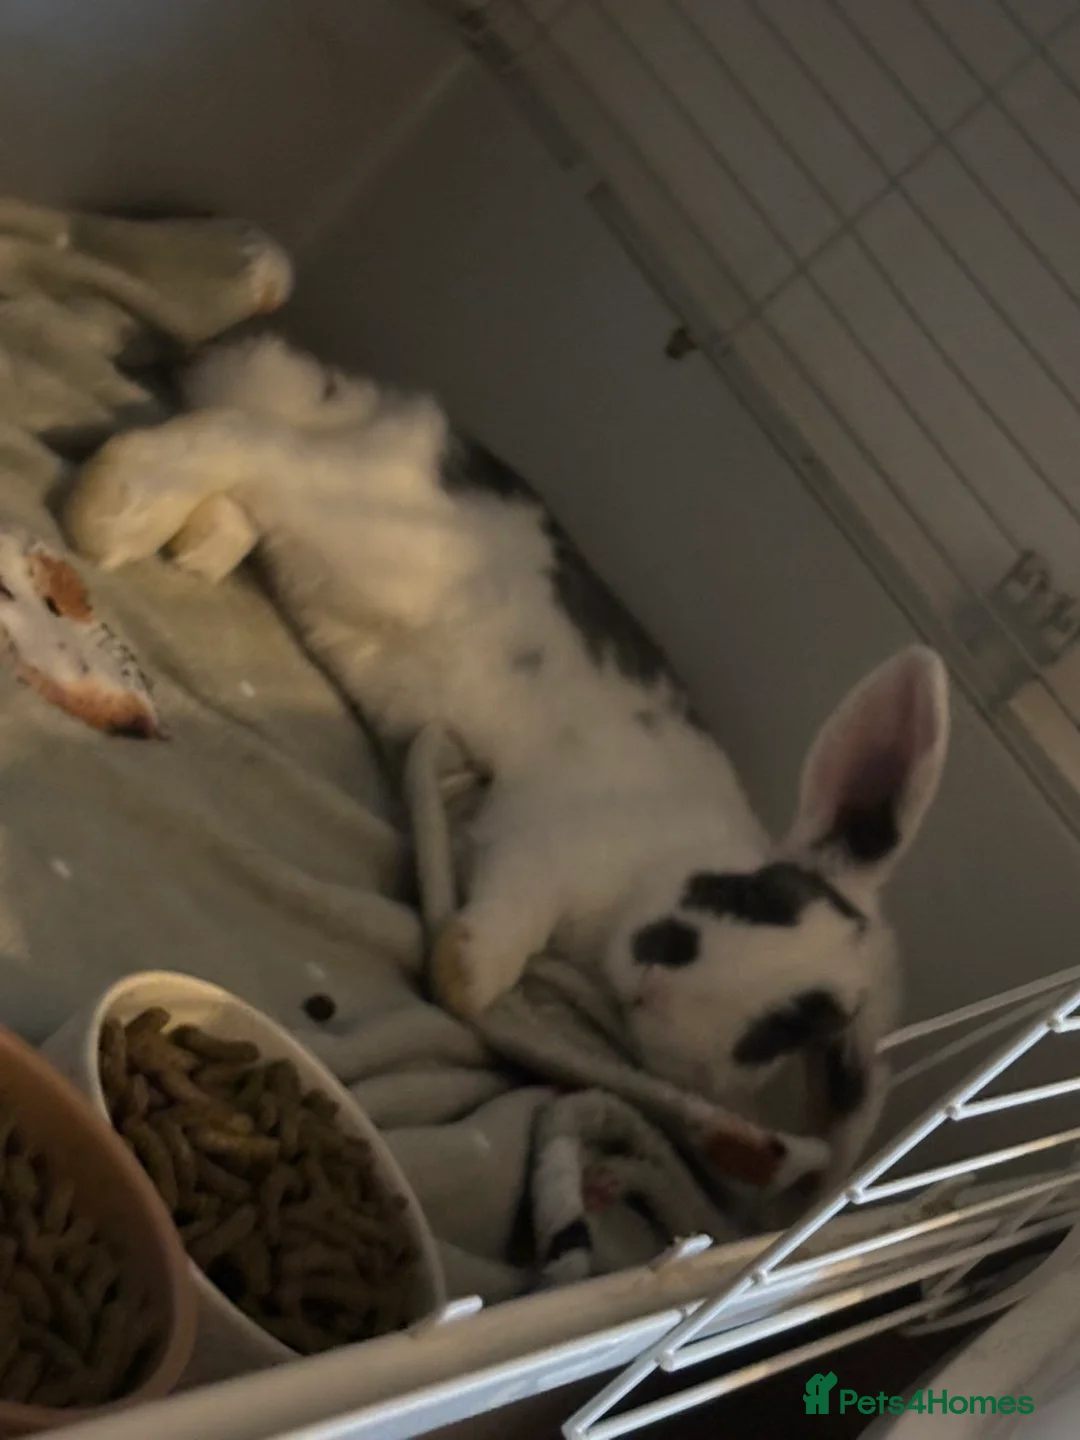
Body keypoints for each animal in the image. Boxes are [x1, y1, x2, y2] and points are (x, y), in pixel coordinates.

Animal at [65, 333, 950, 1169]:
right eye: (763, 895)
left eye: (788, 1028)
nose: (662, 966)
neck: (652, 873)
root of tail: (398, 422)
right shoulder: (553, 842)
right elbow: (510, 920)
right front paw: (465, 975)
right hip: (382, 546)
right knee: (250, 441)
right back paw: (109, 512)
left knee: (260, 467)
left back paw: (197, 542)